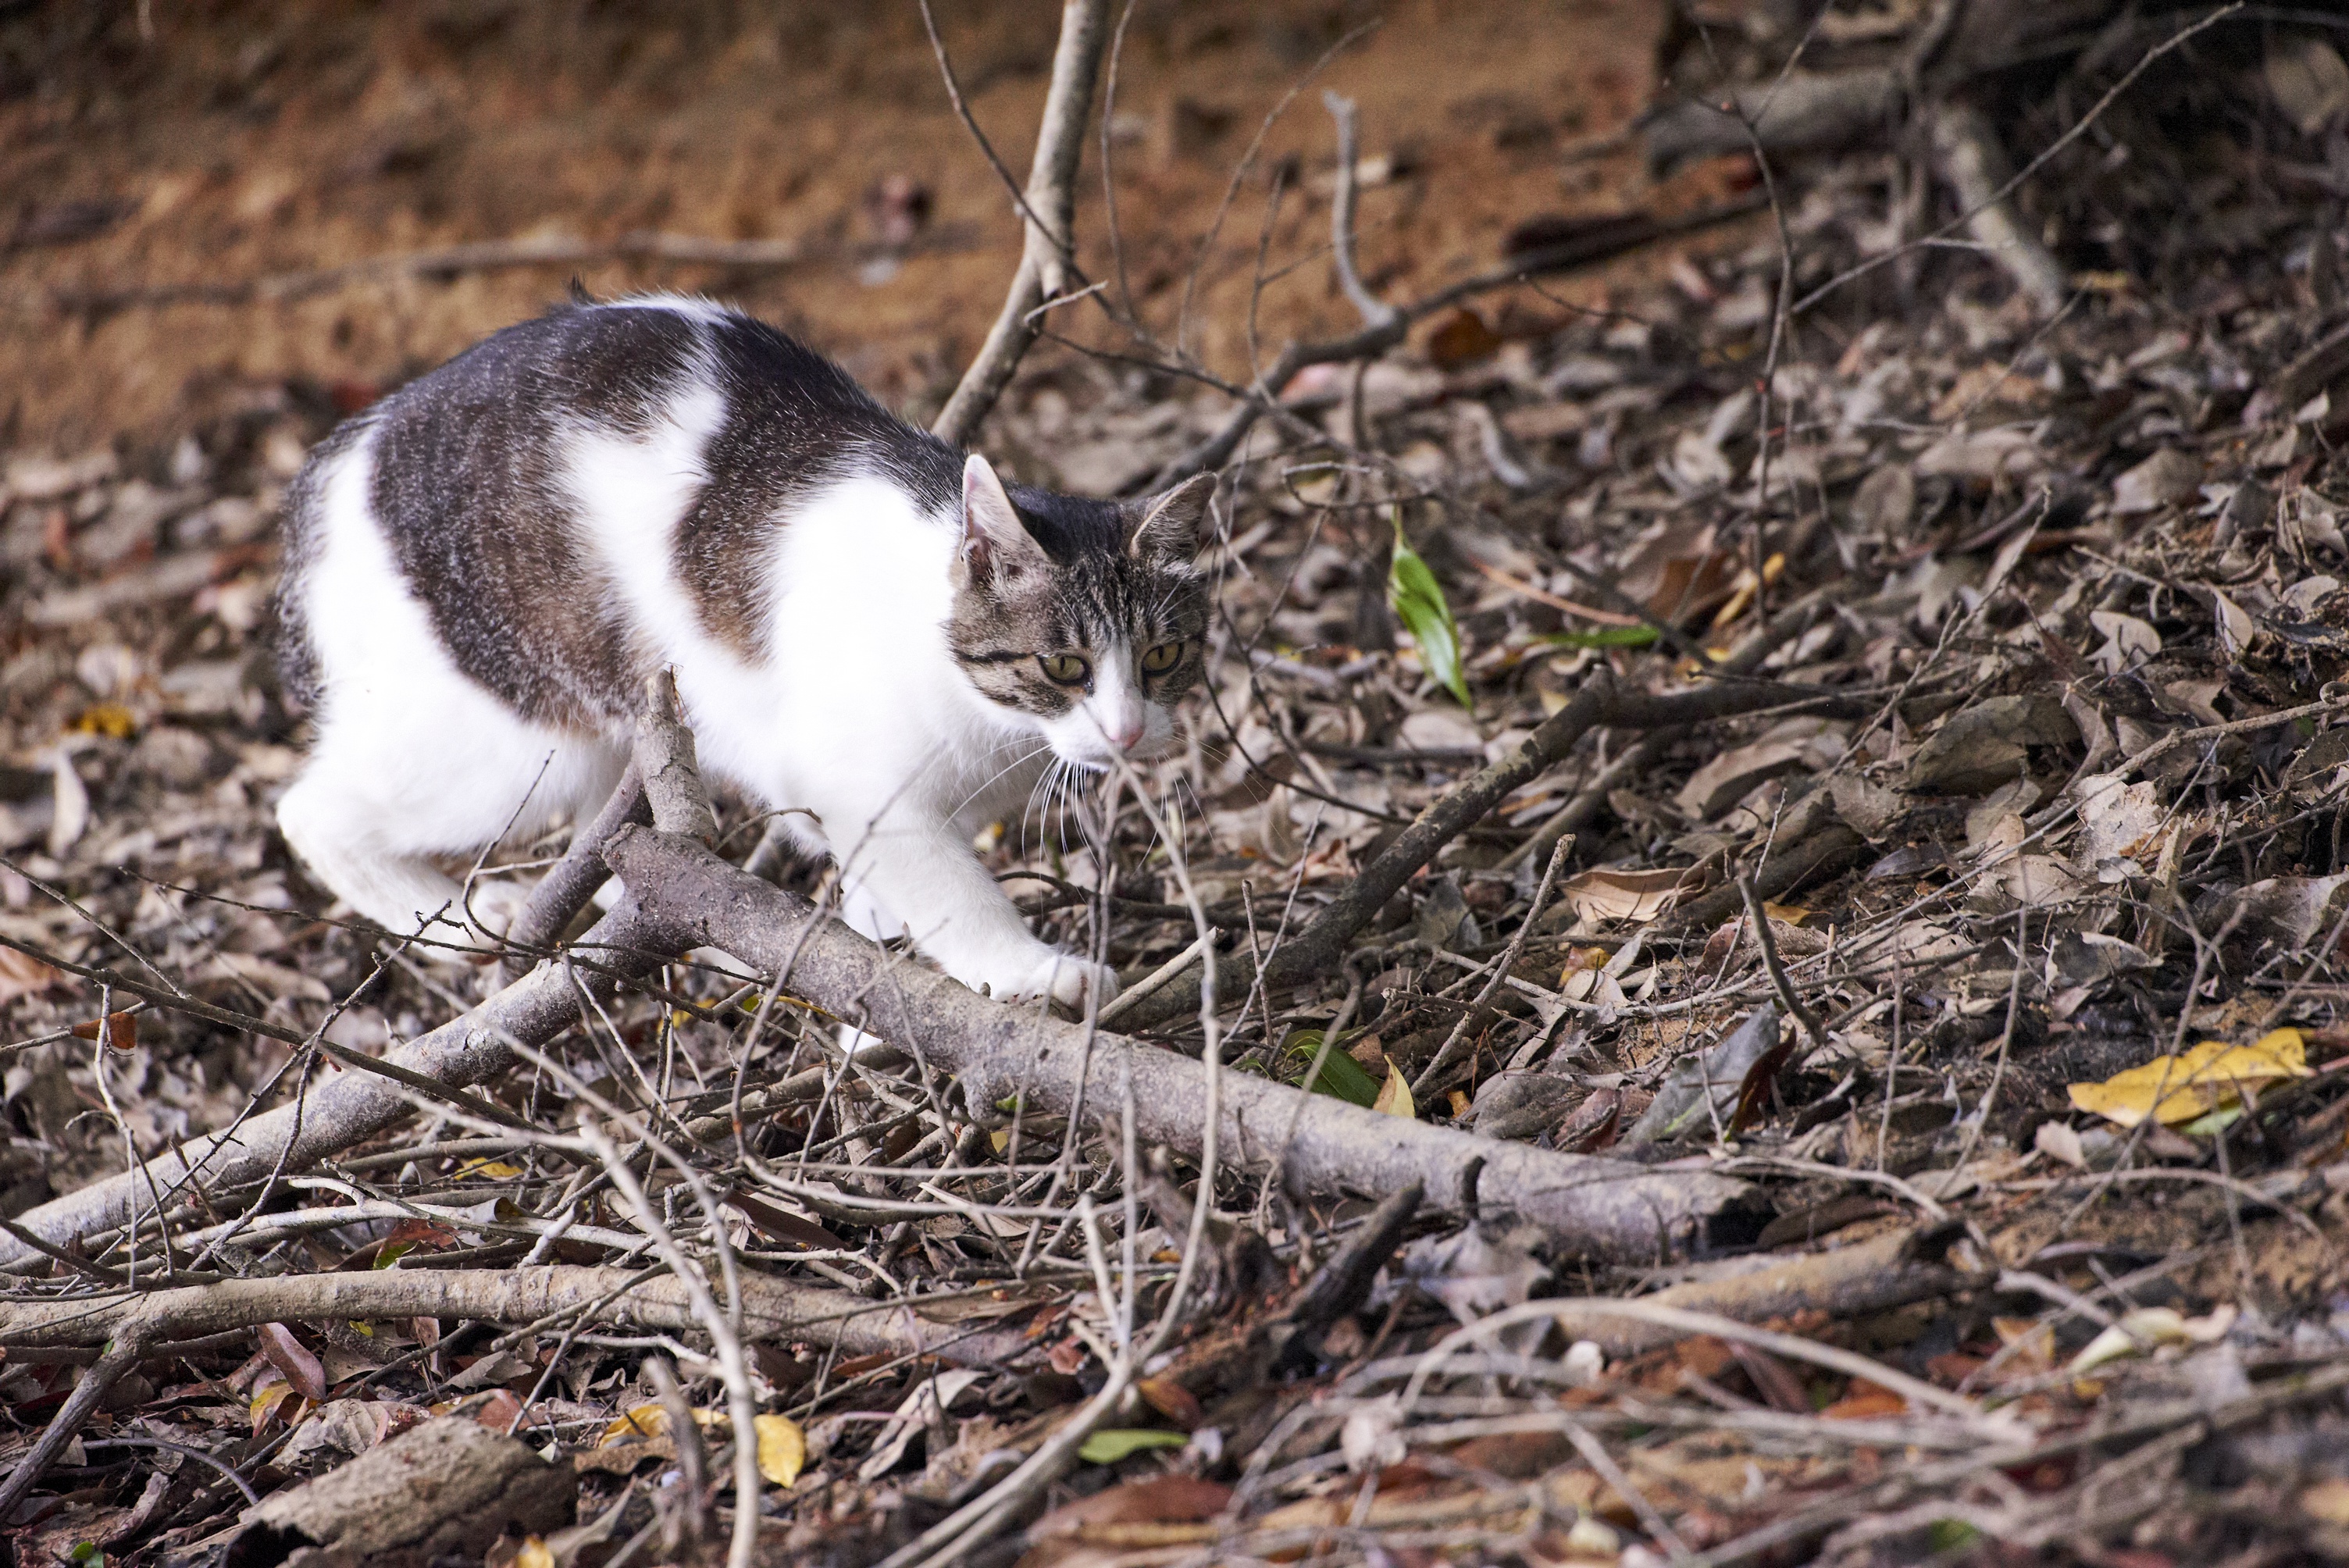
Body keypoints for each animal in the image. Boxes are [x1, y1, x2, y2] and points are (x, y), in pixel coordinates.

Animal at [272, 293, 1212, 1004]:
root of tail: (347, 454)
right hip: (510, 741)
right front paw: (1029, 973)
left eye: (1162, 659)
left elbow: (878, 914)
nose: (1128, 732)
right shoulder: (865, 791)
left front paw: (868, 1022)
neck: (996, 724)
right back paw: (463, 922)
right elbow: (954, 896)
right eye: (1064, 666)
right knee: (308, 811)